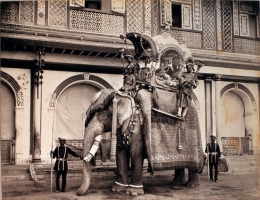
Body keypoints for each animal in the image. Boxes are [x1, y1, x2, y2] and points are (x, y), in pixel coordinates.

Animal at [76, 88, 206, 196]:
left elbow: (135, 154)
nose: (77, 193)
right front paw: (117, 189)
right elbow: (121, 155)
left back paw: (192, 185)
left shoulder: (137, 129)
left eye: (99, 114)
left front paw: (133, 192)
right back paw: (175, 184)